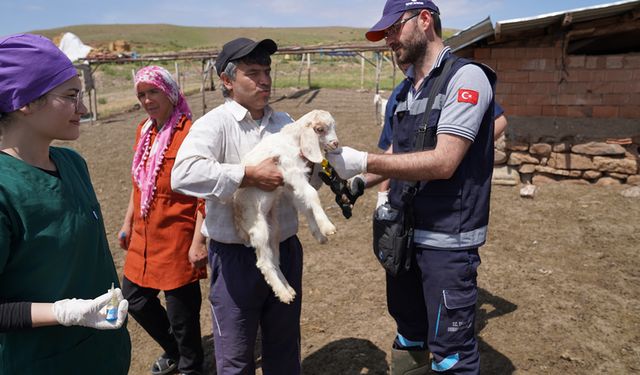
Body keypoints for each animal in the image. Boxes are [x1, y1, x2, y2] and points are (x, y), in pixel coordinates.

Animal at [231, 110, 340, 304]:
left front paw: (319, 234)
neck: (290, 140)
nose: (335, 143)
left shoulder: (290, 183)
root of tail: (237, 222)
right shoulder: (291, 171)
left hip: (273, 229)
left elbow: (305, 203)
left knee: (274, 259)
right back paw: (283, 293)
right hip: (258, 228)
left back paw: (288, 288)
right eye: (320, 129)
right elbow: (312, 194)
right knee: (263, 262)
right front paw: (327, 227)